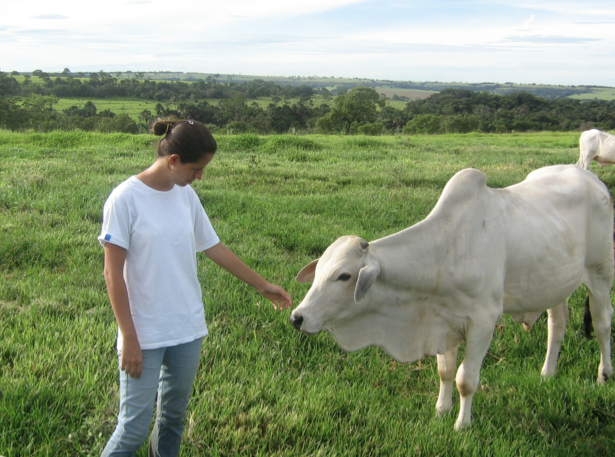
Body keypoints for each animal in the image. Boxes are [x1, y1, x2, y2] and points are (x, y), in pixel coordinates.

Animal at [292, 164, 612, 428]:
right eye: (319, 270)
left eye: (344, 276)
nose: (298, 317)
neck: (447, 250)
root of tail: (590, 177)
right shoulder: (443, 321)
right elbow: (445, 372)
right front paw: (441, 411)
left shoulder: (483, 322)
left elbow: (465, 379)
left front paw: (462, 424)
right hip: (556, 285)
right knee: (557, 324)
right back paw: (547, 374)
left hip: (600, 275)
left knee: (602, 324)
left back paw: (604, 375)